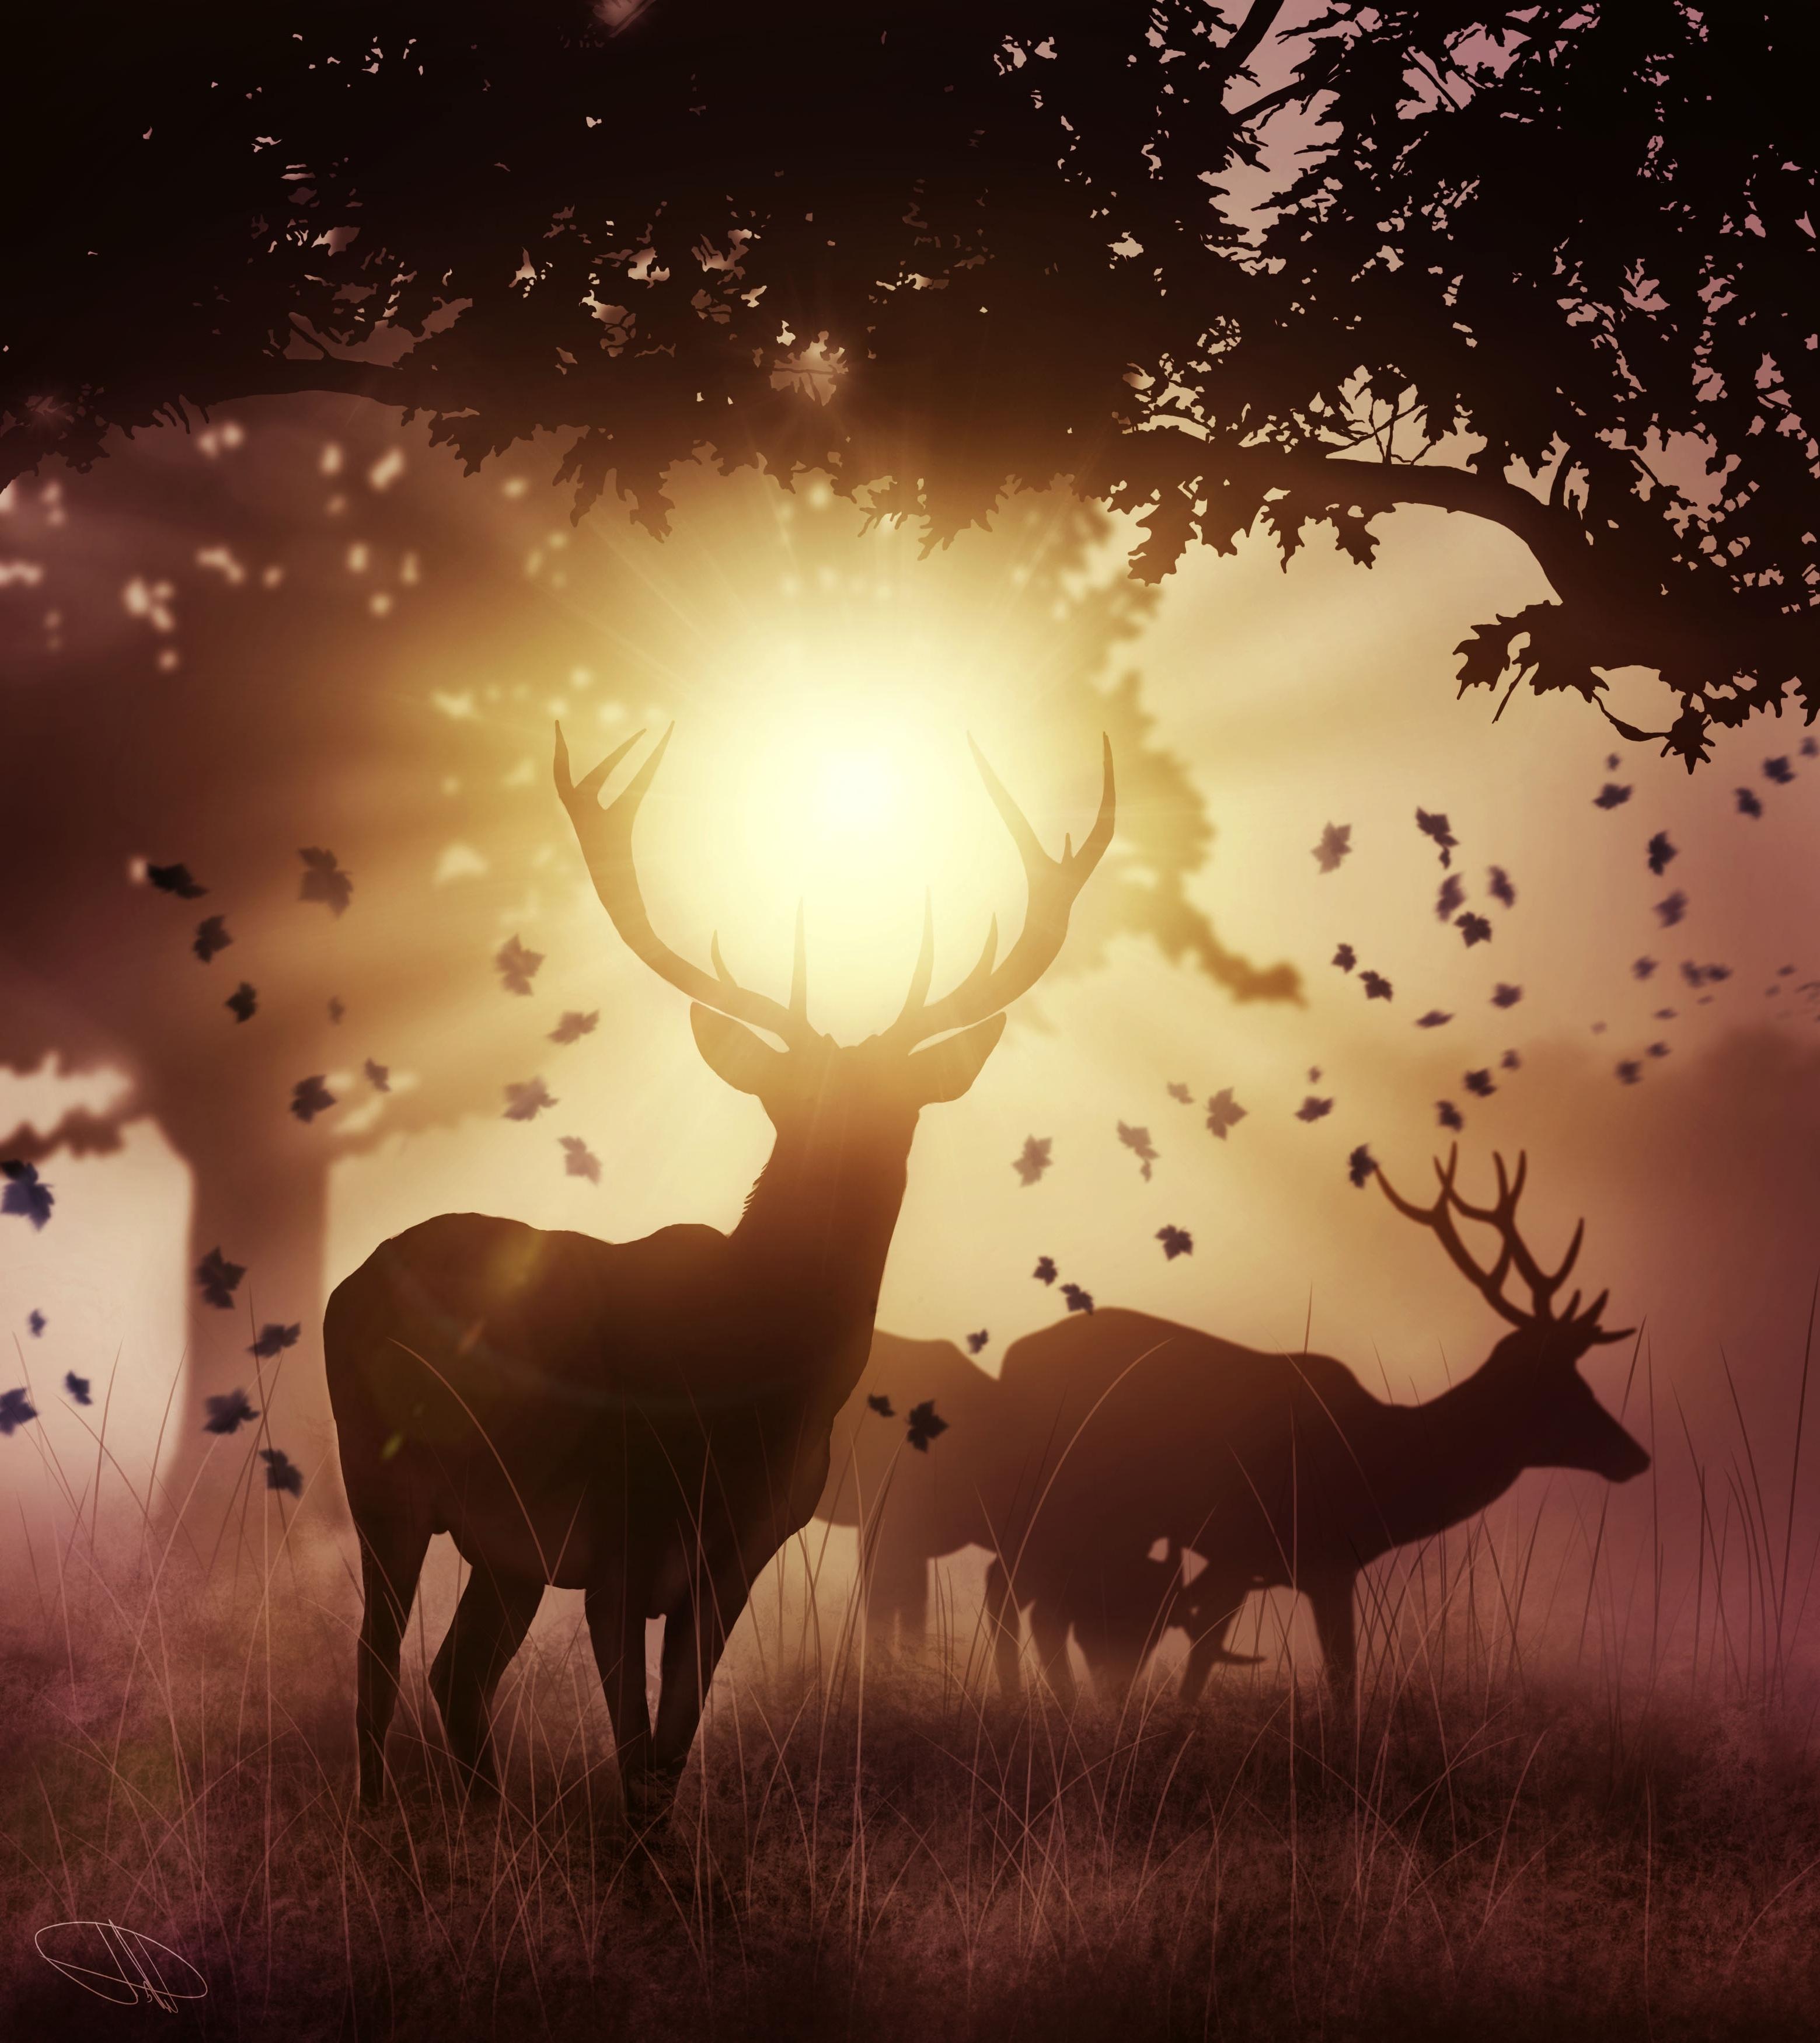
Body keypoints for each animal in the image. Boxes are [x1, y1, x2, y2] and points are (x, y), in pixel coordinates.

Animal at [324, 721, 1113, 1823]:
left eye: (899, 1110)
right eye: (790, 1100)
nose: (842, 1172)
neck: (745, 1403)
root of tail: (348, 1284)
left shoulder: (741, 1557)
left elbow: (672, 1747)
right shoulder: (619, 1537)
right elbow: (635, 1759)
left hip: (504, 1545)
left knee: (457, 1673)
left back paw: (487, 1820)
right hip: (382, 1479)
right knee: (375, 1669)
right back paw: (373, 1823)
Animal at [979, 1150, 1649, 1707]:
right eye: (1562, 1388)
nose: (1635, 1456)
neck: (1380, 1470)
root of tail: (1010, 1361)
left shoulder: (1272, 1562)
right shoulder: (1308, 1555)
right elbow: (1337, 1679)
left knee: (1033, 1599)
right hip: (1055, 1497)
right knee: (1009, 1587)